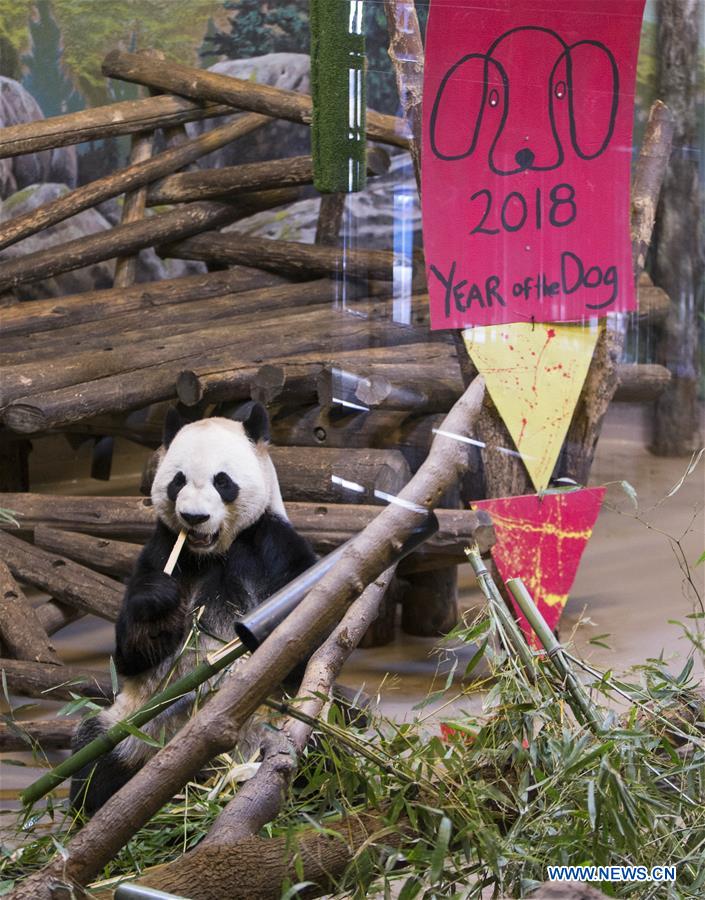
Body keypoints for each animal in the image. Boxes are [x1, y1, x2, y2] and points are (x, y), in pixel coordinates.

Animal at [70, 401, 317, 816]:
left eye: (222, 481)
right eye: (177, 481)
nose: (194, 517)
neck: (212, 552)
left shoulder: (272, 546)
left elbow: (307, 646)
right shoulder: (161, 550)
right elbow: (132, 655)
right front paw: (158, 601)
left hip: (278, 722)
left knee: (328, 747)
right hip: (133, 727)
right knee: (93, 757)